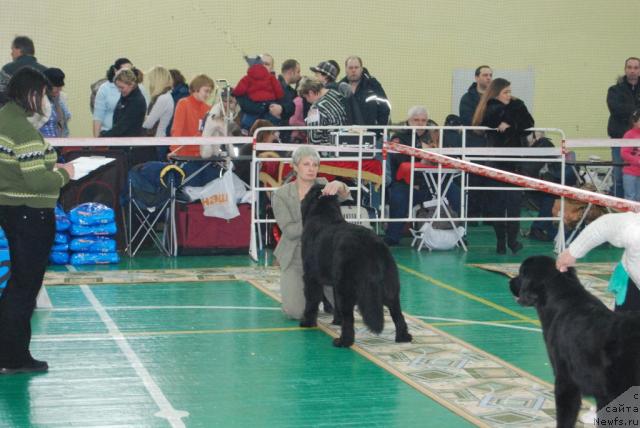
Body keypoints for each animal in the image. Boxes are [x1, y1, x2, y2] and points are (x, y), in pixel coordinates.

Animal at [298, 184, 412, 348]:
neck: (324, 214)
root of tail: (372, 246)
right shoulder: (334, 281)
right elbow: (334, 302)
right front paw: (336, 321)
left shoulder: (311, 276)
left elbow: (312, 300)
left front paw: (307, 321)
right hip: (389, 285)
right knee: (397, 312)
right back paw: (403, 337)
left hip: (347, 287)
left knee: (349, 317)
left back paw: (343, 341)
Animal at [510, 256, 640, 426]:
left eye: (521, 273)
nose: (510, 281)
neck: (560, 300)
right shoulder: (601, 393)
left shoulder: (565, 379)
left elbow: (566, 416)